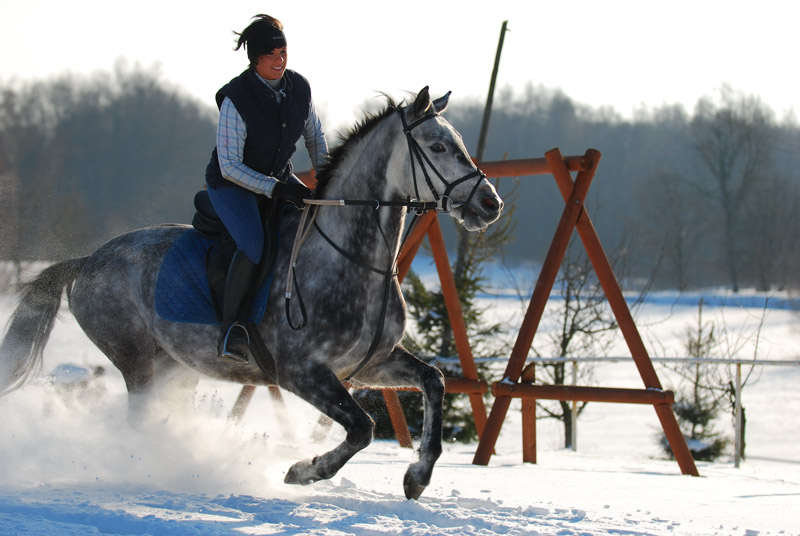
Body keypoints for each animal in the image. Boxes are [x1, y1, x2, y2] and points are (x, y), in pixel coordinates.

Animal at [0, 86, 500, 500]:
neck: (354, 262)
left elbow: (433, 382)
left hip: (174, 367)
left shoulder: (371, 362)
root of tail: (89, 261)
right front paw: (303, 470)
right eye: (437, 146)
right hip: (134, 358)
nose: (489, 203)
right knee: (138, 418)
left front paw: (418, 476)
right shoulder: (299, 373)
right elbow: (362, 427)